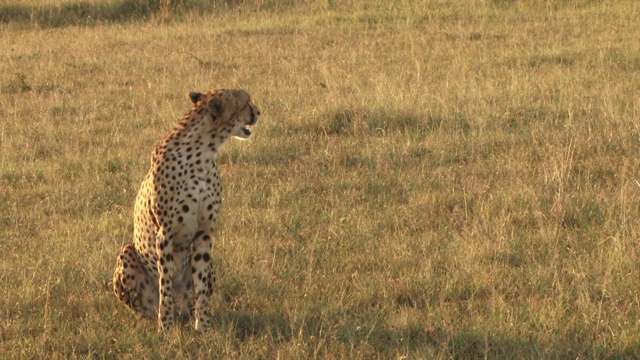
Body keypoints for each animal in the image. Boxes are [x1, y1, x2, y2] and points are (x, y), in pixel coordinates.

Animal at [112, 88, 260, 332]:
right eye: (245, 102)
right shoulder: (165, 231)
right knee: (146, 308)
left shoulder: (204, 231)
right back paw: (155, 320)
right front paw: (165, 328)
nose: (258, 112)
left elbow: (200, 288)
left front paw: (204, 329)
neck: (205, 150)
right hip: (127, 252)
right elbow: (165, 284)